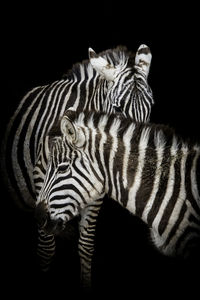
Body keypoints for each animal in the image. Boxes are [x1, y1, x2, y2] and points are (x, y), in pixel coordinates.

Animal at [1, 44, 153, 286]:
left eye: (150, 109)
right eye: (118, 109)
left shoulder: (96, 191)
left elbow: (86, 246)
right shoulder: (41, 180)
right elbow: (46, 249)